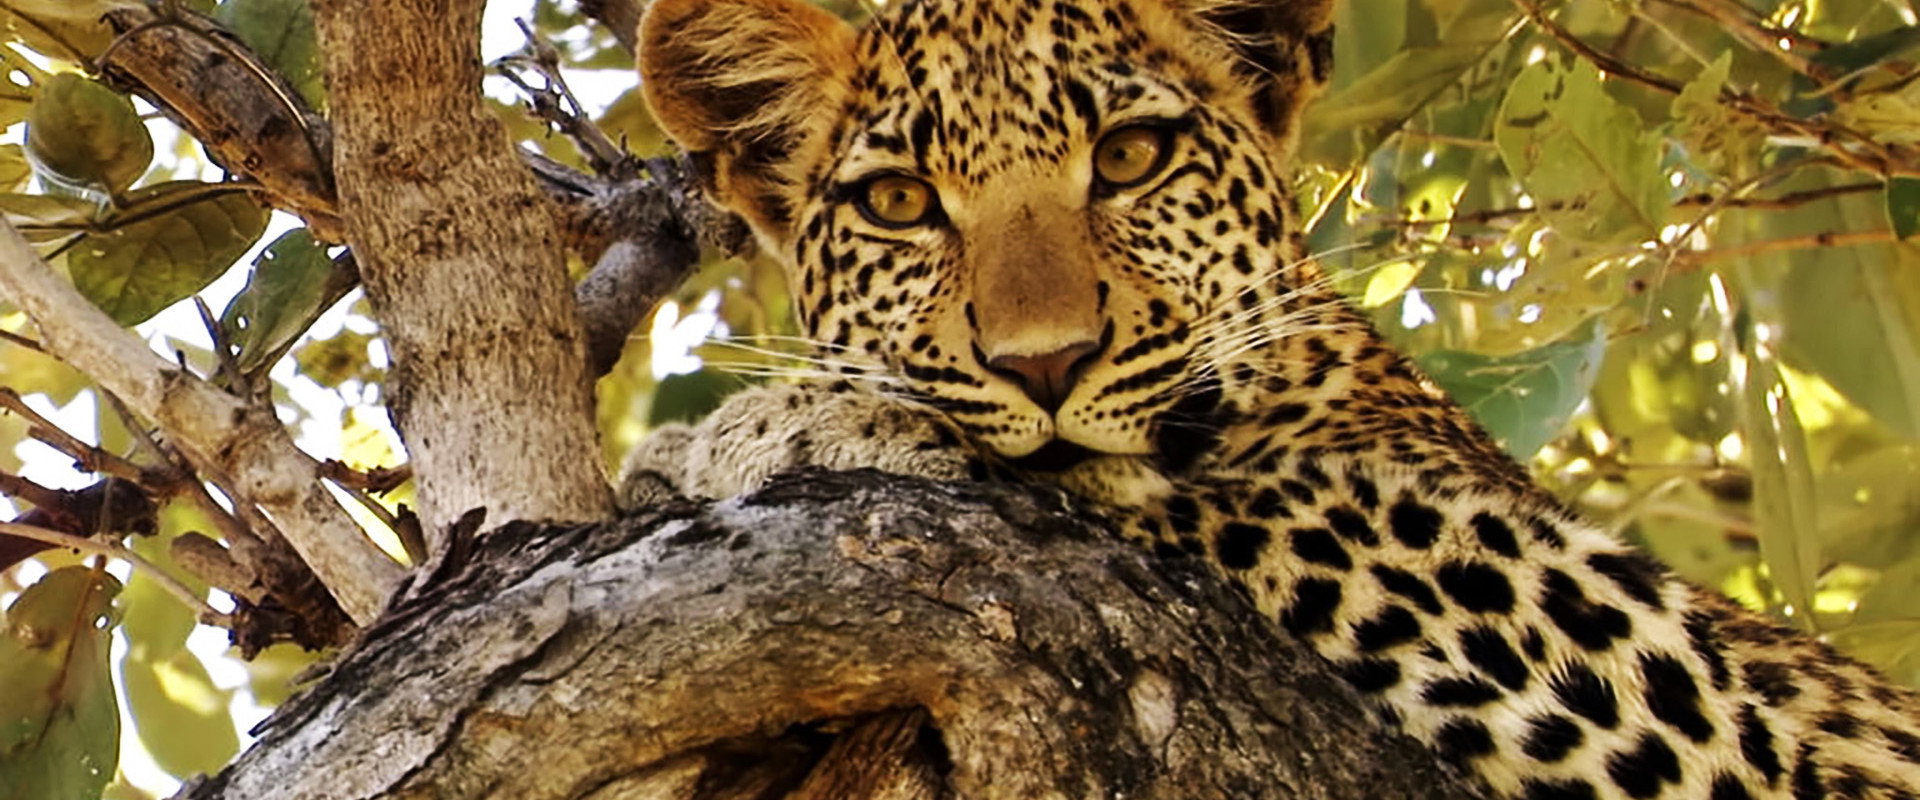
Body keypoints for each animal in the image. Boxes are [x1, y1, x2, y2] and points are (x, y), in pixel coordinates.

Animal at [625, 0, 1920, 797]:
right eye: (898, 202)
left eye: (1132, 158)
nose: (1046, 364)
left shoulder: (1731, 715)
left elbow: (1200, 490)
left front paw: (784, 423)